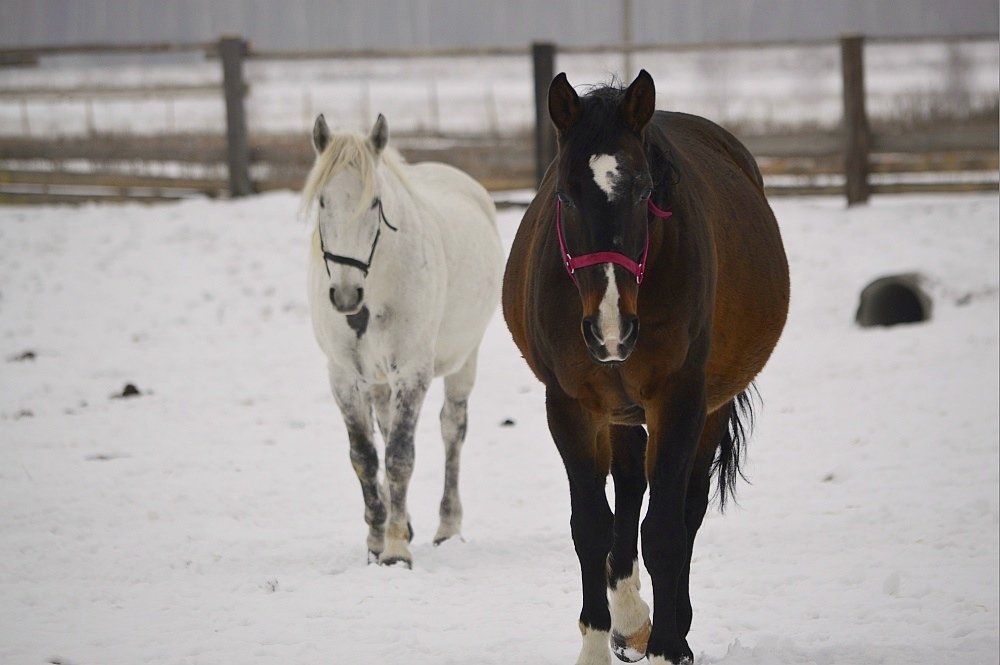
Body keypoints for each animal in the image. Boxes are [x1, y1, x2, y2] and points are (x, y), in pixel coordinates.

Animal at [300, 113, 504, 564]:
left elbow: (398, 457)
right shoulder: (344, 376)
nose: (345, 295)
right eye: (322, 202)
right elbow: (364, 457)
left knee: (452, 430)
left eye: (374, 203)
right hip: (378, 379)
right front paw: (377, 540)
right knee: (386, 423)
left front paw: (395, 549)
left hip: (465, 358)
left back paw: (447, 526)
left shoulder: (412, 371)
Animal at [504, 70, 792, 660]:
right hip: (619, 411)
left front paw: (666, 645)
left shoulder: (678, 401)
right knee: (631, 489)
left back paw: (669, 629)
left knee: (686, 509)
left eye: (642, 190)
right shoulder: (571, 406)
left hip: (705, 409)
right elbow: (592, 525)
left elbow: (664, 531)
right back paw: (631, 619)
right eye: (565, 193)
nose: (610, 329)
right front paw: (601, 640)